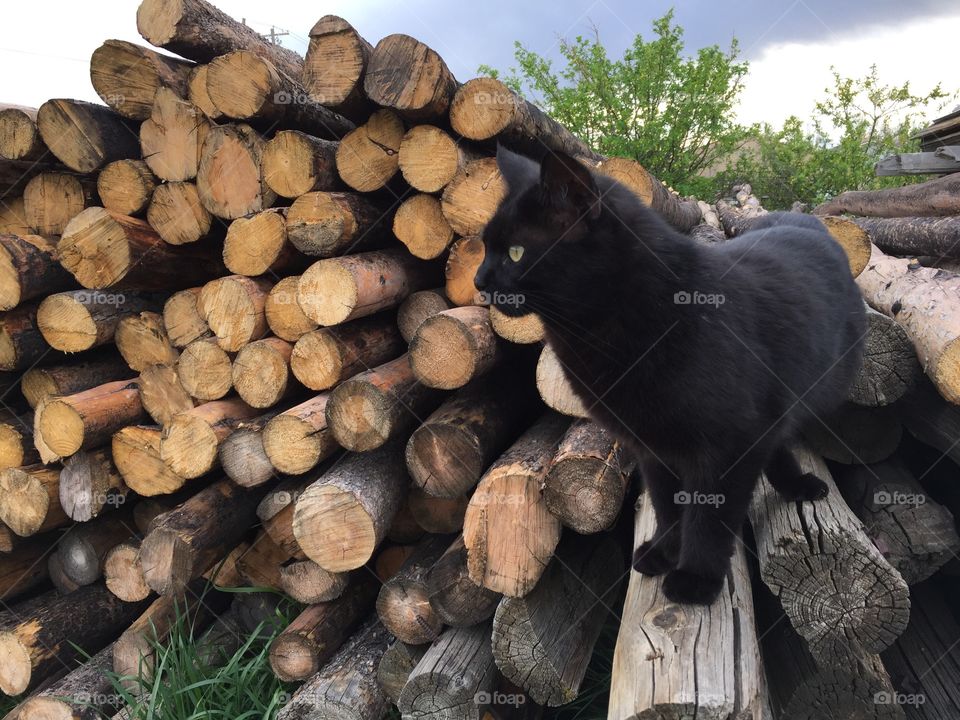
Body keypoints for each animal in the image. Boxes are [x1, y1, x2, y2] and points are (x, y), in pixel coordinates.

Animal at [476, 145, 868, 600]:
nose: (479, 280)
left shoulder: (725, 446)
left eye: (516, 252)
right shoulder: (653, 447)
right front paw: (664, 554)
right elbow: (667, 506)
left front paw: (697, 579)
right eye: (485, 248)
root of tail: (808, 222)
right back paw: (794, 484)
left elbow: (708, 517)